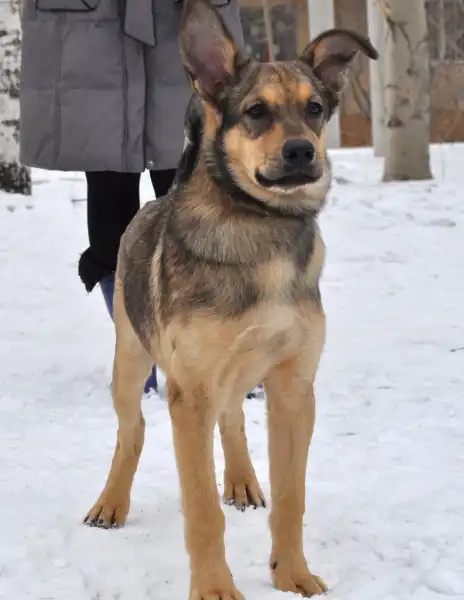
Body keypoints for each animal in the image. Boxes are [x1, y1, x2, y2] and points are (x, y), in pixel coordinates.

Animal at [84, 1, 378, 597]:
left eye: (315, 108)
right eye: (255, 112)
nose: (302, 151)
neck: (262, 230)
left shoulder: (293, 387)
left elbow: (292, 495)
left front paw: (293, 573)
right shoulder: (189, 393)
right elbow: (201, 511)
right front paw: (215, 587)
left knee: (234, 419)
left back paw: (242, 479)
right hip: (132, 358)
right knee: (132, 431)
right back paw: (111, 502)